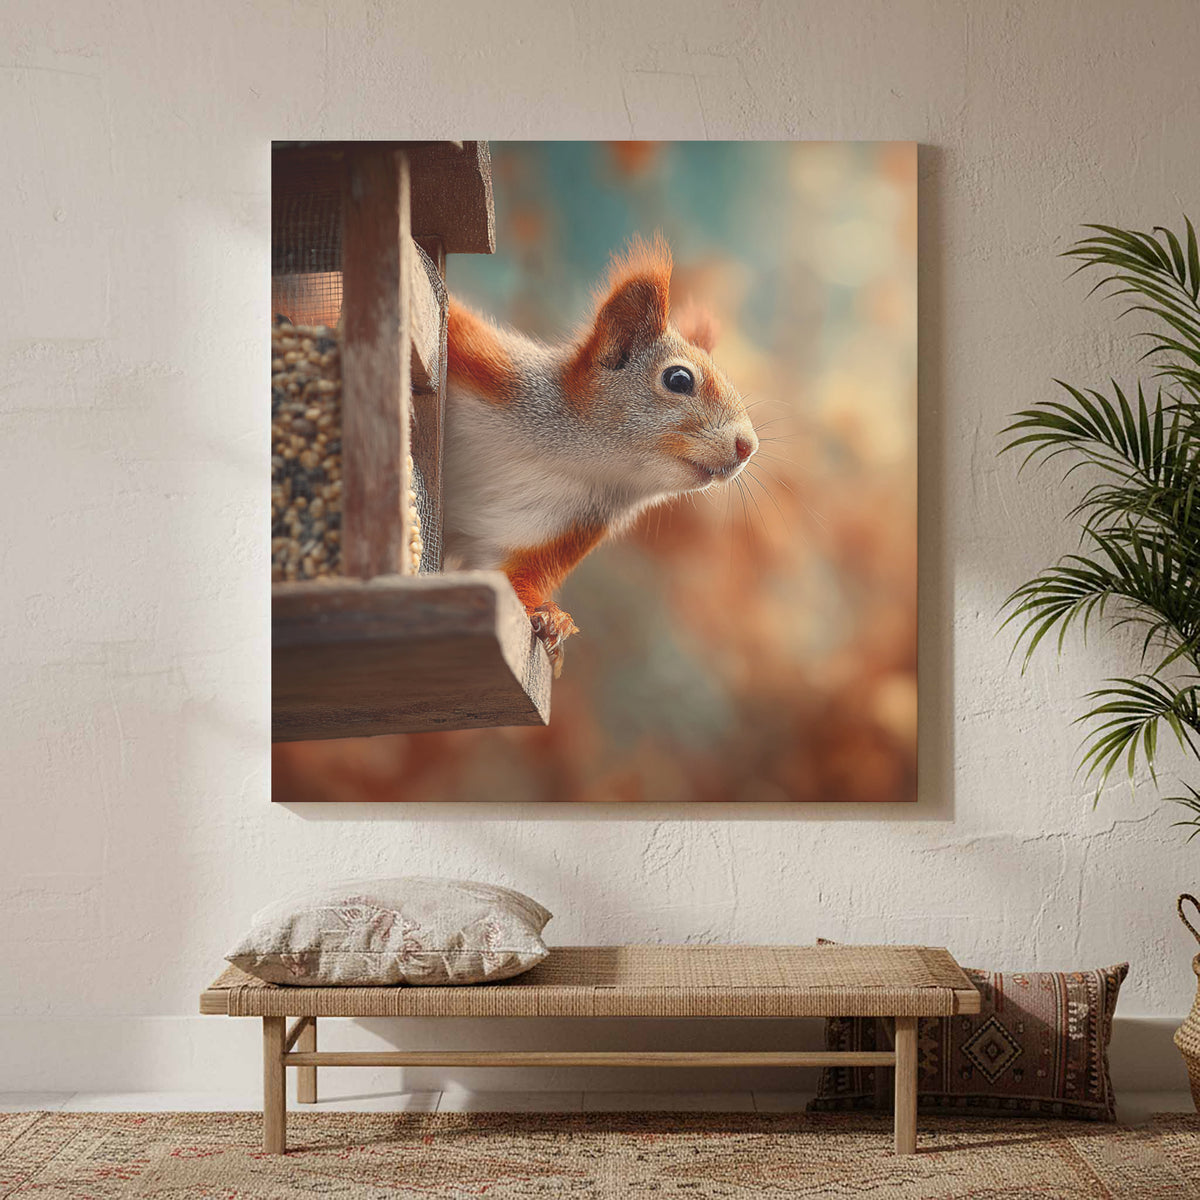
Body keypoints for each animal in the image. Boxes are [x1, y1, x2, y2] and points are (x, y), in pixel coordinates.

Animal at [442, 235, 758, 675]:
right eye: (679, 379)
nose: (748, 446)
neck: (573, 455)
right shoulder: (492, 365)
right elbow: (453, 322)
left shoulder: (562, 524)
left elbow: (513, 577)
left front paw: (550, 617)